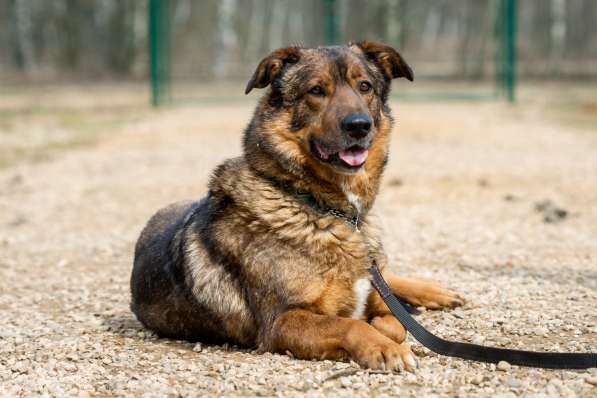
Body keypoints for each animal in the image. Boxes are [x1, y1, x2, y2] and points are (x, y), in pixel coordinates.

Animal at [132, 42, 460, 372]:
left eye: (365, 86)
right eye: (316, 90)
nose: (359, 126)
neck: (325, 209)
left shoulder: (372, 293)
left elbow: (393, 321)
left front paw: (388, 329)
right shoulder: (281, 321)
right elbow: (351, 324)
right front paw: (383, 347)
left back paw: (436, 292)